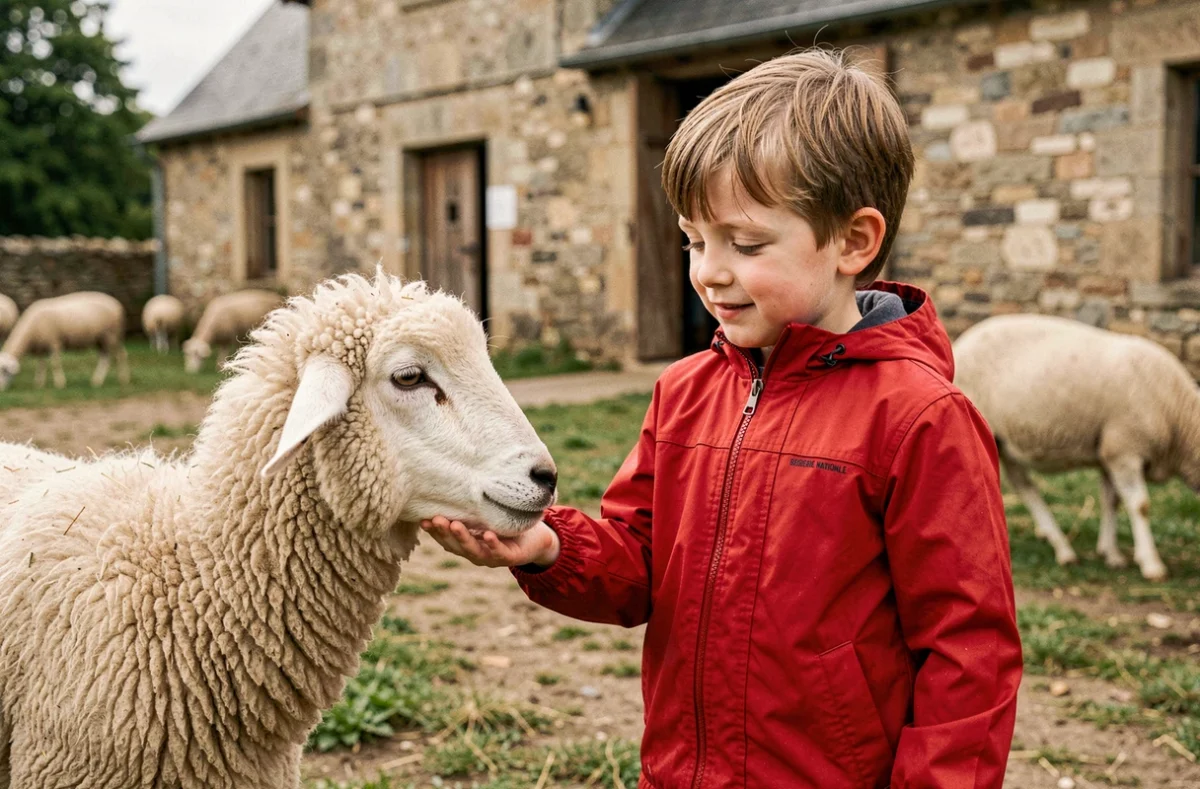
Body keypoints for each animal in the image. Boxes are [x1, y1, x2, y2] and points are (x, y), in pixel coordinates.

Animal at [0, 291, 129, 391]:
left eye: (5, 371)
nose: (1, 390)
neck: (30, 333)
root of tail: (116, 303)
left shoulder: (55, 342)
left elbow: (55, 364)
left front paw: (60, 384)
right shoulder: (41, 347)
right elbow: (41, 365)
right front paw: (39, 384)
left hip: (112, 335)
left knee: (120, 355)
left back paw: (123, 380)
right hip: (101, 339)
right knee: (105, 358)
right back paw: (96, 381)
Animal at [952, 313, 1200, 581]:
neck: (1180, 416)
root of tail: (961, 343)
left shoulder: (1107, 452)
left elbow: (1111, 501)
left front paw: (1111, 553)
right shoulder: (1124, 448)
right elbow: (1141, 506)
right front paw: (1151, 564)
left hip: (1004, 441)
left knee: (1022, 485)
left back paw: (1056, 541)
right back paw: (1060, 548)